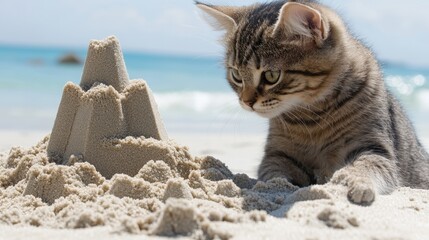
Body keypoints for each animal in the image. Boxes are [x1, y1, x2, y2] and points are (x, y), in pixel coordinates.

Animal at [197, 0, 428, 204]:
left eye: (271, 76)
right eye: (236, 75)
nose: (246, 102)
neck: (313, 115)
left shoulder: (376, 148)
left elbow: (366, 165)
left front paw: (351, 181)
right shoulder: (278, 154)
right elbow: (273, 173)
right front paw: (277, 186)